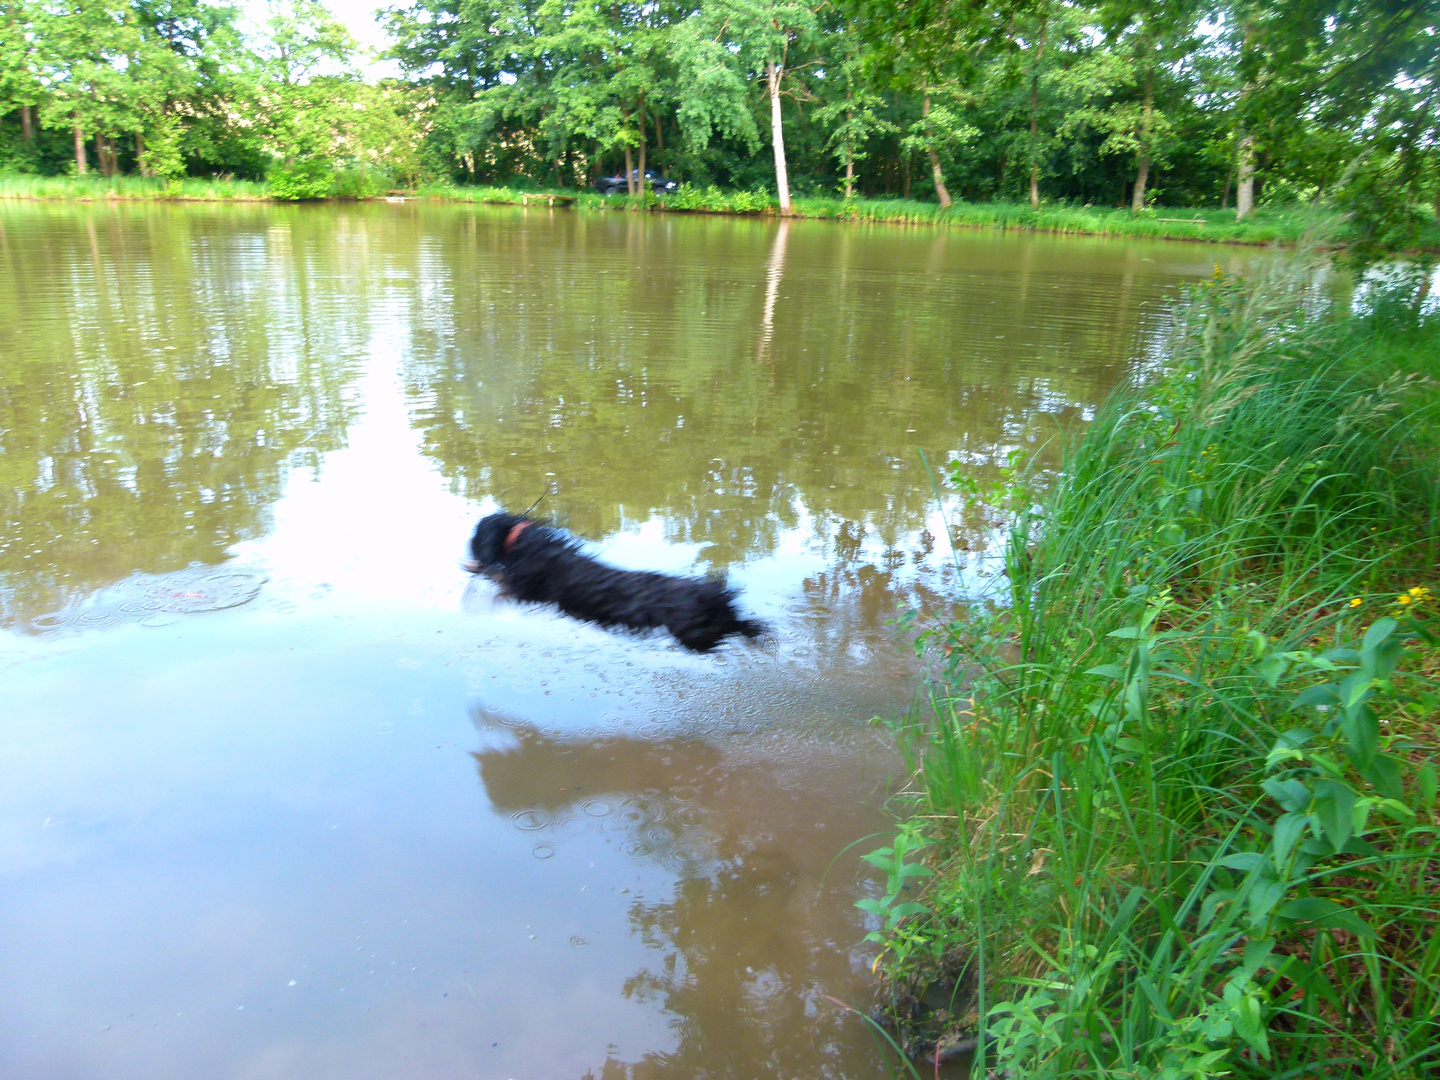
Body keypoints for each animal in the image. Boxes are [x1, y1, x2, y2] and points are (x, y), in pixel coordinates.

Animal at [466, 512, 771, 656]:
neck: (520, 540)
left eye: (476, 536)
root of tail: (713, 597)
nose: (469, 550)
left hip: (694, 635)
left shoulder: (523, 588)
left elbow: (500, 586)